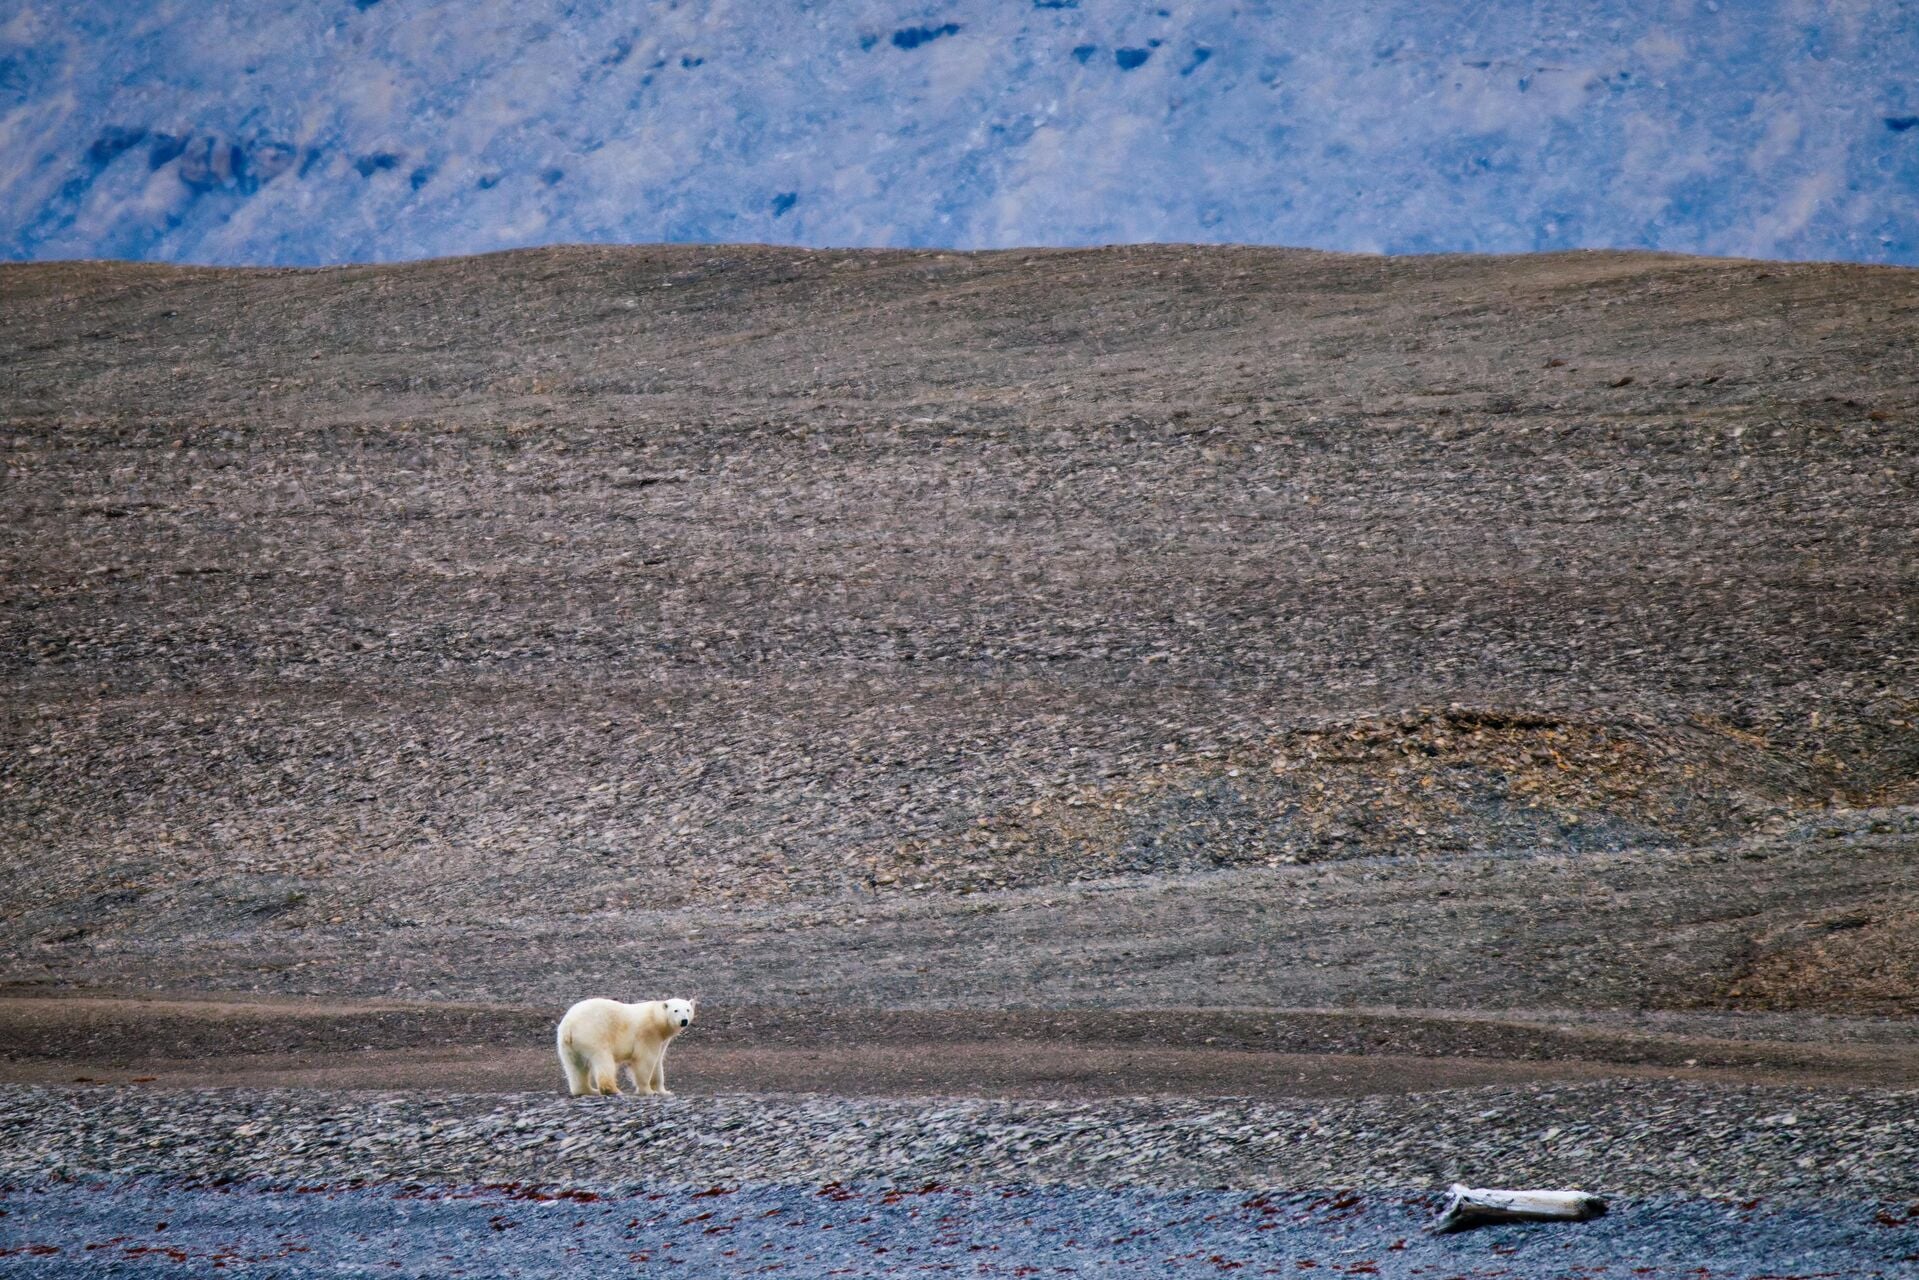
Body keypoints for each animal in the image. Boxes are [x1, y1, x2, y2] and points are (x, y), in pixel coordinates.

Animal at [556, 996, 697, 1097]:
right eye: (676, 1010)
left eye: (688, 1009)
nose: (684, 1021)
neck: (656, 1019)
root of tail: (569, 1025)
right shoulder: (648, 1034)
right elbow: (645, 1061)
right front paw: (648, 1091)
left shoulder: (662, 1041)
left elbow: (657, 1063)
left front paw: (664, 1091)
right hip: (593, 1035)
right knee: (603, 1061)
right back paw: (613, 1090)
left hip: (567, 1046)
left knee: (575, 1067)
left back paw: (589, 1090)